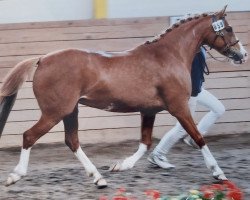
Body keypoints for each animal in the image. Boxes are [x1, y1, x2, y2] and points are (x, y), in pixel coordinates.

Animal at [0, 6, 247, 188]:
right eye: (228, 28)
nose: (242, 54)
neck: (169, 55)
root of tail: (42, 59)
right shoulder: (178, 107)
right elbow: (198, 137)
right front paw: (219, 173)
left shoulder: (148, 110)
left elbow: (145, 143)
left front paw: (120, 166)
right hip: (55, 112)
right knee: (29, 136)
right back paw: (15, 175)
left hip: (70, 111)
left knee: (72, 141)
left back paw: (99, 178)